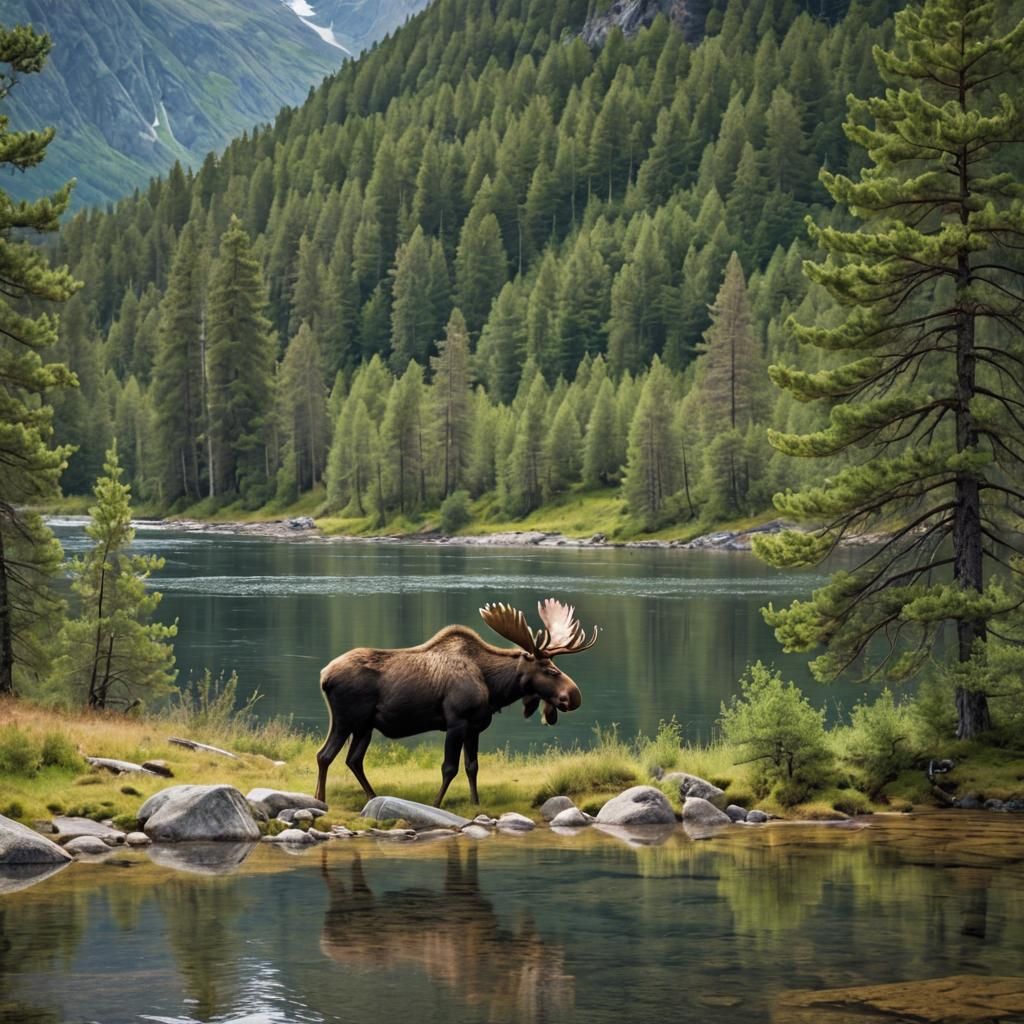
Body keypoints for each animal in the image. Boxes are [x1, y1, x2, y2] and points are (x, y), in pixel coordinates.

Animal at [314, 599, 598, 807]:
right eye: (550, 670)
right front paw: (436, 803)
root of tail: (324, 676)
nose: (573, 696)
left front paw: (475, 802)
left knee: (352, 760)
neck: (495, 687)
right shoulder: (456, 722)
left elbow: (472, 767)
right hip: (346, 720)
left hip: (364, 726)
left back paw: (370, 797)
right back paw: (322, 799)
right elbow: (449, 768)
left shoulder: (474, 726)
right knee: (325, 755)